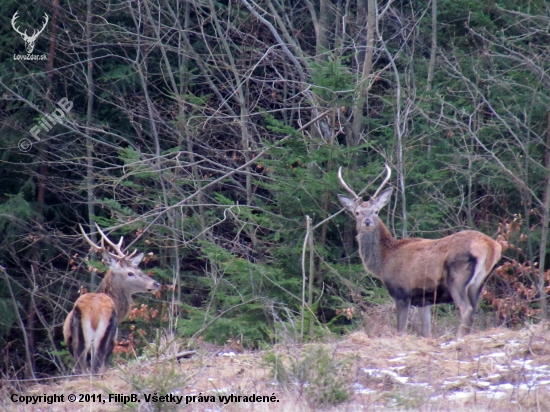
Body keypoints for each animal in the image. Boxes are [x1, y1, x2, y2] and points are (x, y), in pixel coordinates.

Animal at [65, 225, 161, 374]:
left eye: (139, 269)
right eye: (130, 273)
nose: (155, 283)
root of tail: (93, 312)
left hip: (81, 340)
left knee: (83, 369)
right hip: (106, 335)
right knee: (96, 366)